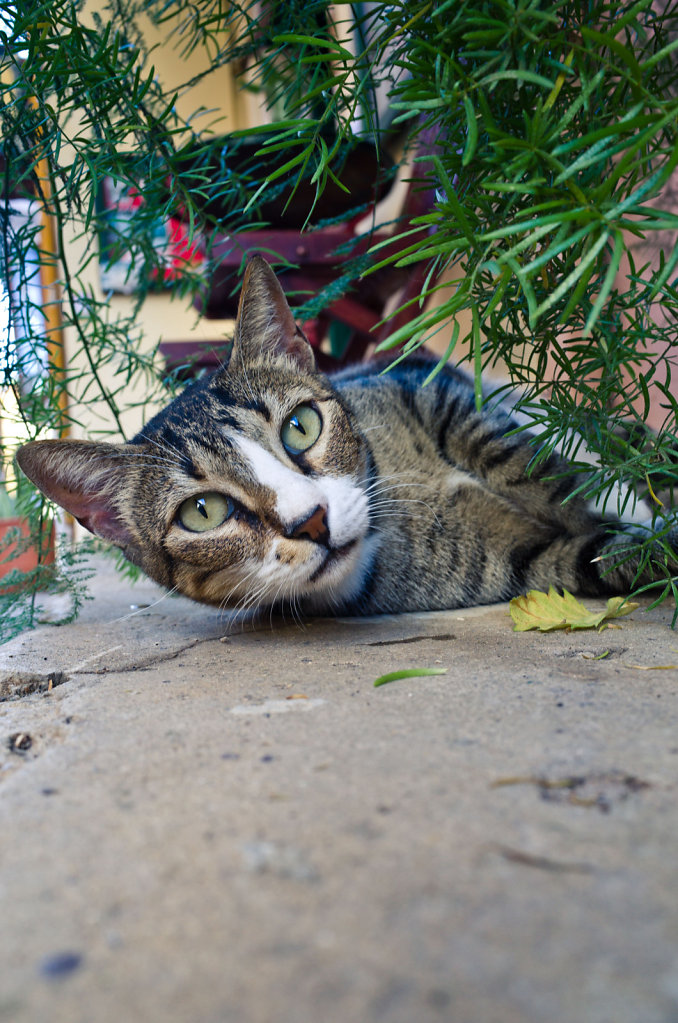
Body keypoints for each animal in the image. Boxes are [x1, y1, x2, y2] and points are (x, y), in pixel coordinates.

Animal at [14, 255, 674, 613]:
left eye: (301, 426)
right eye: (203, 513)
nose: (311, 522)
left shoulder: (430, 387)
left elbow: (530, 464)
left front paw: (628, 499)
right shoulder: (521, 568)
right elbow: (595, 555)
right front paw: (646, 536)